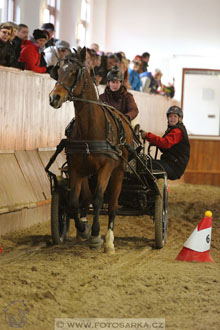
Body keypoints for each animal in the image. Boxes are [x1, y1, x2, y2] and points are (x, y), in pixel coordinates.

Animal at [48, 47, 132, 253]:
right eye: (58, 71)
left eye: (73, 72)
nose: (54, 97)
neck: (90, 128)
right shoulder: (76, 168)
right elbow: (73, 202)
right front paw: (83, 229)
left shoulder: (106, 168)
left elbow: (99, 199)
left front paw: (95, 235)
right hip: (87, 173)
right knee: (85, 199)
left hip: (118, 172)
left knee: (112, 205)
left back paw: (109, 240)